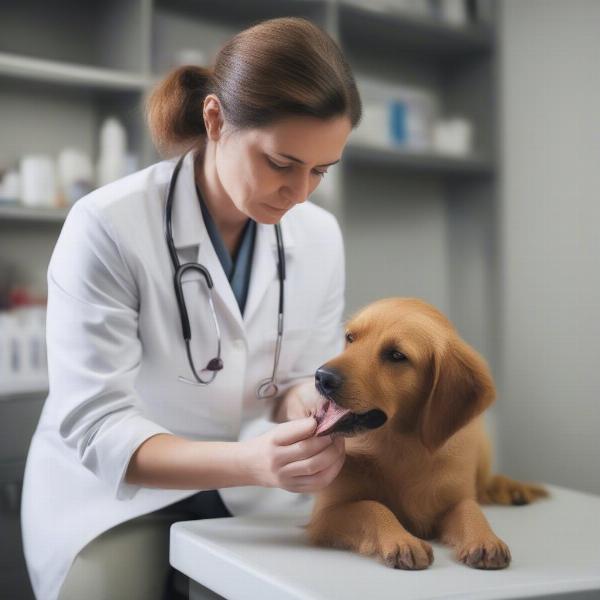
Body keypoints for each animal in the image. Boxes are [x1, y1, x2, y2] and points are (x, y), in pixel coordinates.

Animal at [304, 298, 548, 568]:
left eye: (396, 355)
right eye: (350, 337)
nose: (321, 377)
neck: (401, 446)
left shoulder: (452, 498)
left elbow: (470, 509)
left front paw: (485, 540)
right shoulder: (326, 515)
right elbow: (373, 507)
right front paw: (402, 541)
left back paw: (510, 488)